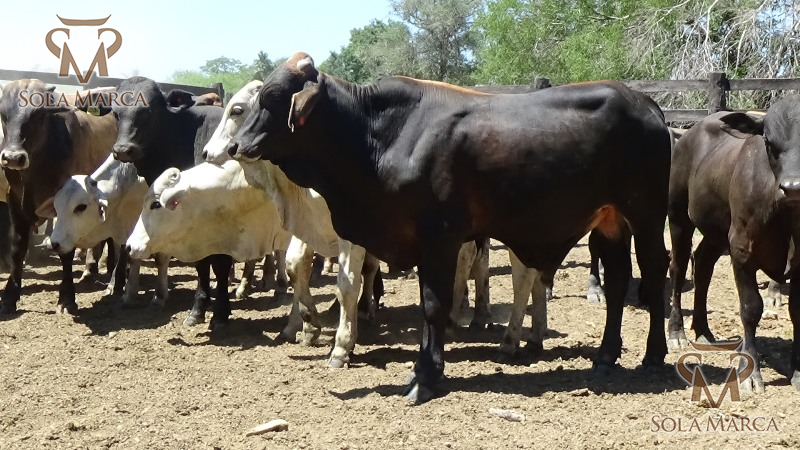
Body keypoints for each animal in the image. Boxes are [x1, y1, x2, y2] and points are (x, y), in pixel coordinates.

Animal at [0, 79, 116, 314]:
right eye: (2, 113)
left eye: (39, 114)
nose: (13, 158)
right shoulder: (14, 199)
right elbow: (17, 247)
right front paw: (9, 296)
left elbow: (66, 251)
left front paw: (66, 298)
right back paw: (91, 270)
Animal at [227, 53, 671, 403]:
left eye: (272, 96)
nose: (235, 147)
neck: (380, 138)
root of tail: (646, 103)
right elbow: (429, 308)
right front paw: (425, 370)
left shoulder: (439, 238)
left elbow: (434, 306)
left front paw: (425, 377)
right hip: (610, 220)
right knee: (618, 279)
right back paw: (606, 355)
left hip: (647, 215)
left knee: (654, 271)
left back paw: (653, 355)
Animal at [668, 104, 800, 394]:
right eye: (768, 142)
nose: (793, 188)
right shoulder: (741, 251)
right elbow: (751, 309)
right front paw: (751, 374)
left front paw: (798, 372)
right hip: (679, 216)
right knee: (678, 268)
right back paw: (676, 332)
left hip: (716, 230)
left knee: (703, 264)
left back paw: (703, 330)